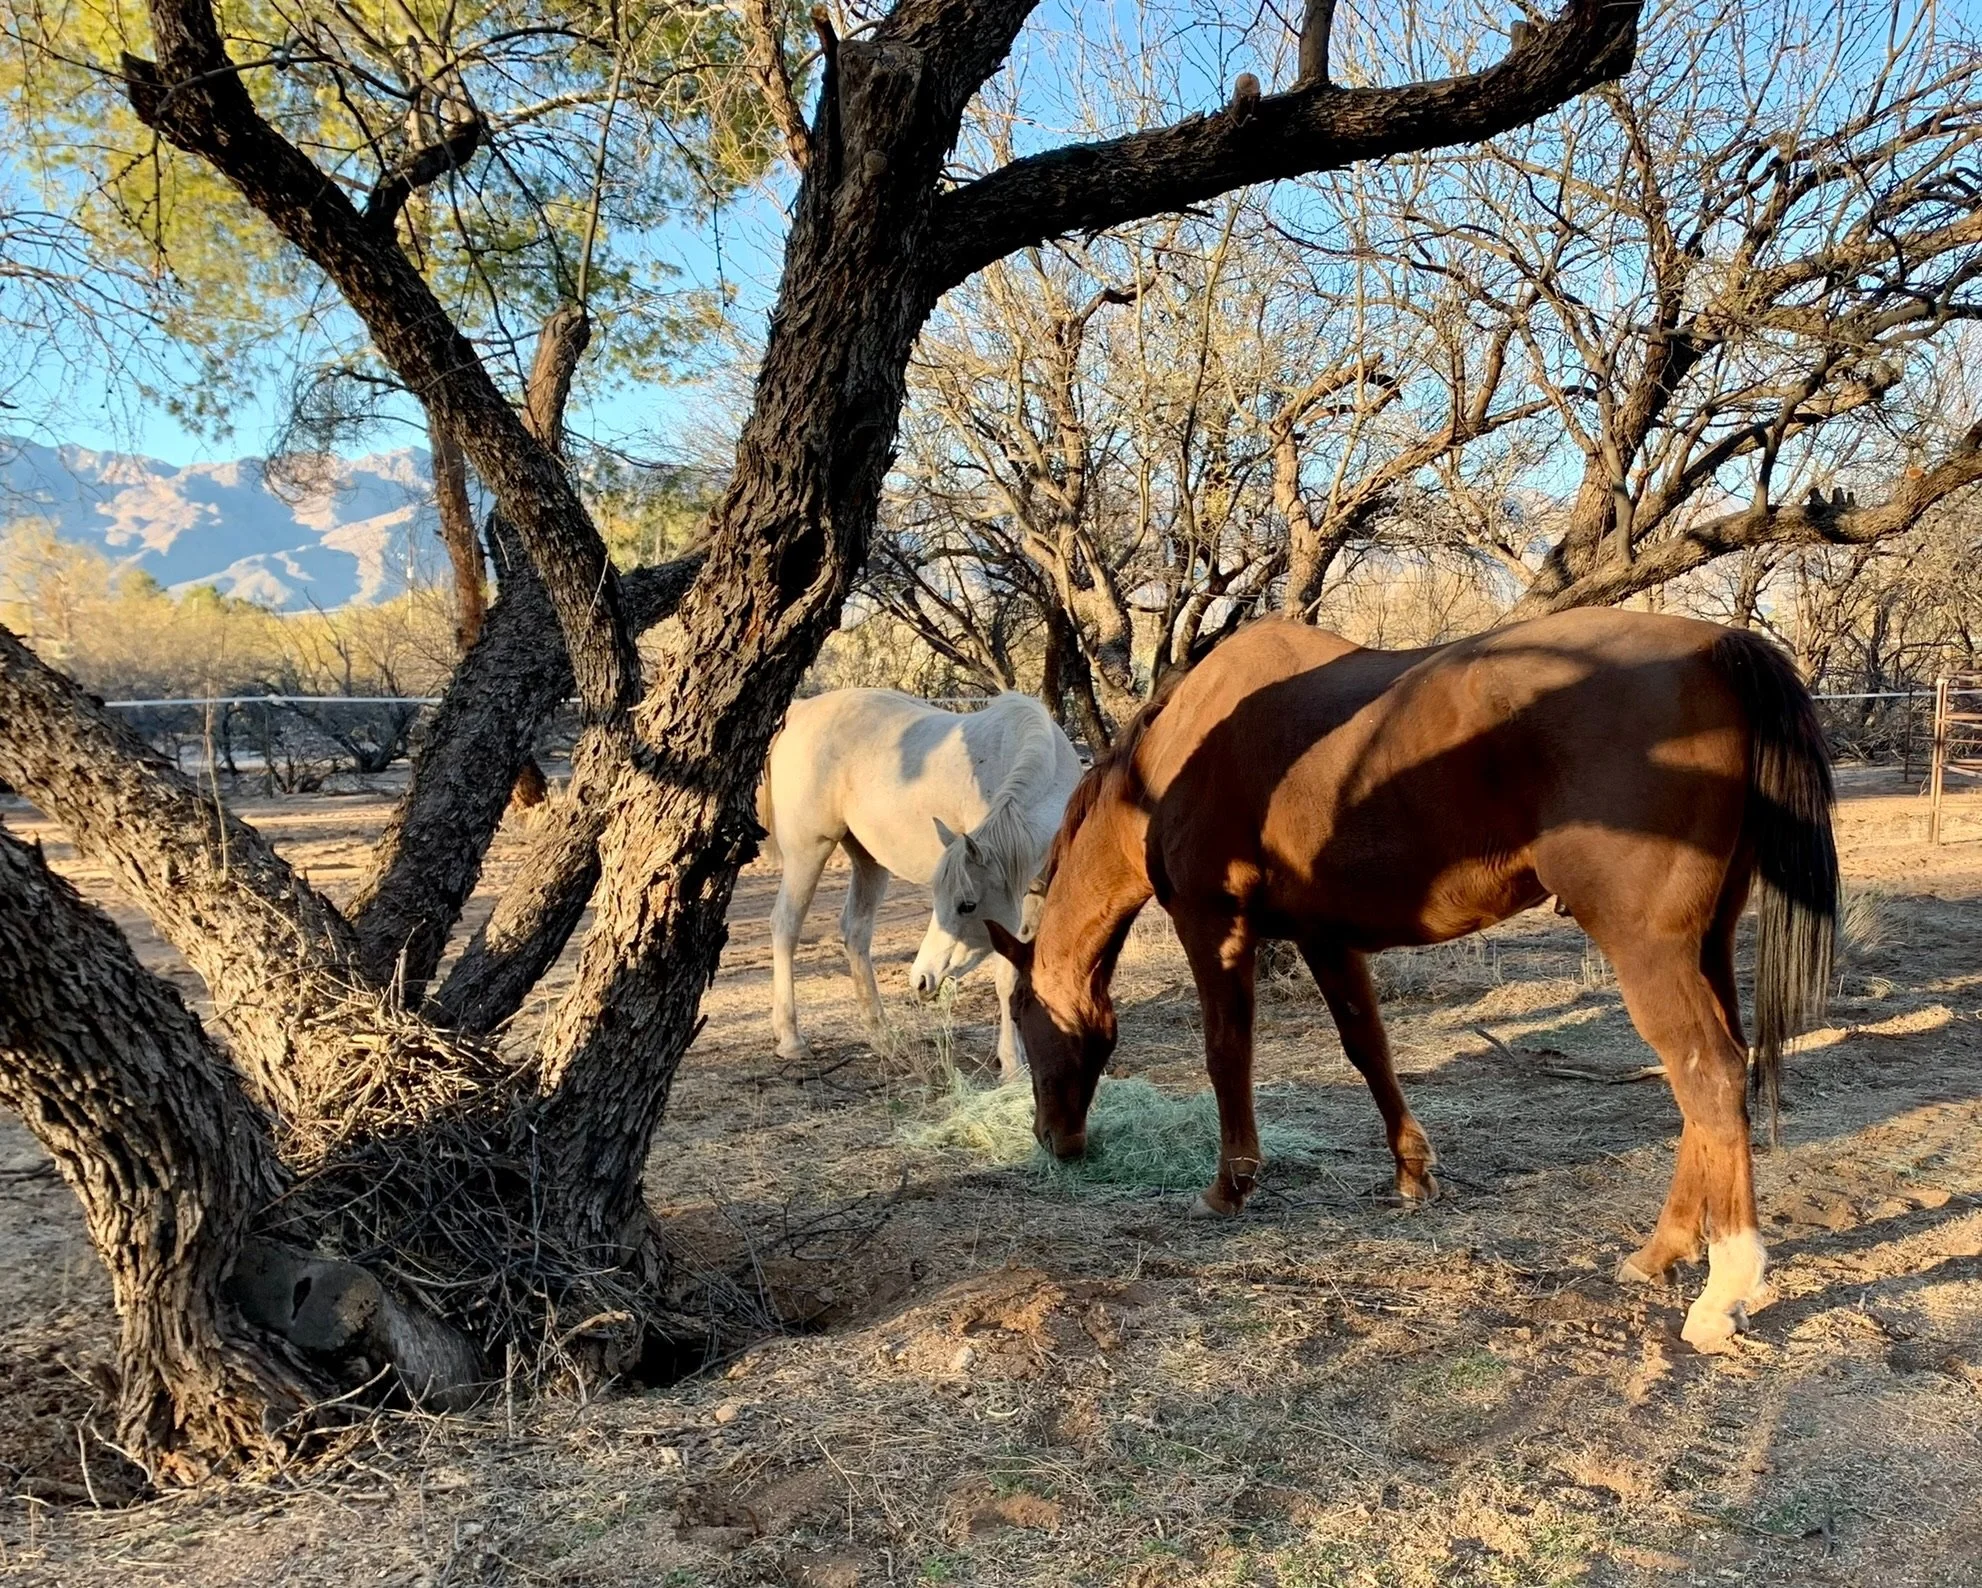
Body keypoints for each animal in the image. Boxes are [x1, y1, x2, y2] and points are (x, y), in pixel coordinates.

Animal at [758, 688, 1083, 1076]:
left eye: (966, 905)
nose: (921, 980)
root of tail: (800, 710)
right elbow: (1007, 980)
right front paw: (1012, 1065)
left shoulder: (1035, 894)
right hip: (809, 851)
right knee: (786, 926)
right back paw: (790, 1038)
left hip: (868, 860)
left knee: (856, 931)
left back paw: (883, 1036)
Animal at [983, 609, 1837, 1354]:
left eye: (1023, 1016)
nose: (1053, 1141)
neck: (1173, 762)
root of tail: (1716, 647)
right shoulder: (1326, 937)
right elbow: (1370, 1049)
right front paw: (1411, 1173)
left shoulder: (1212, 926)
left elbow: (1228, 1055)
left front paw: (1230, 1187)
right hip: (1707, 943)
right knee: (1713, 1080)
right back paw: (1660, 1252)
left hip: (1647, 947)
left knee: (1708, 1074)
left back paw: (1723, 1291)